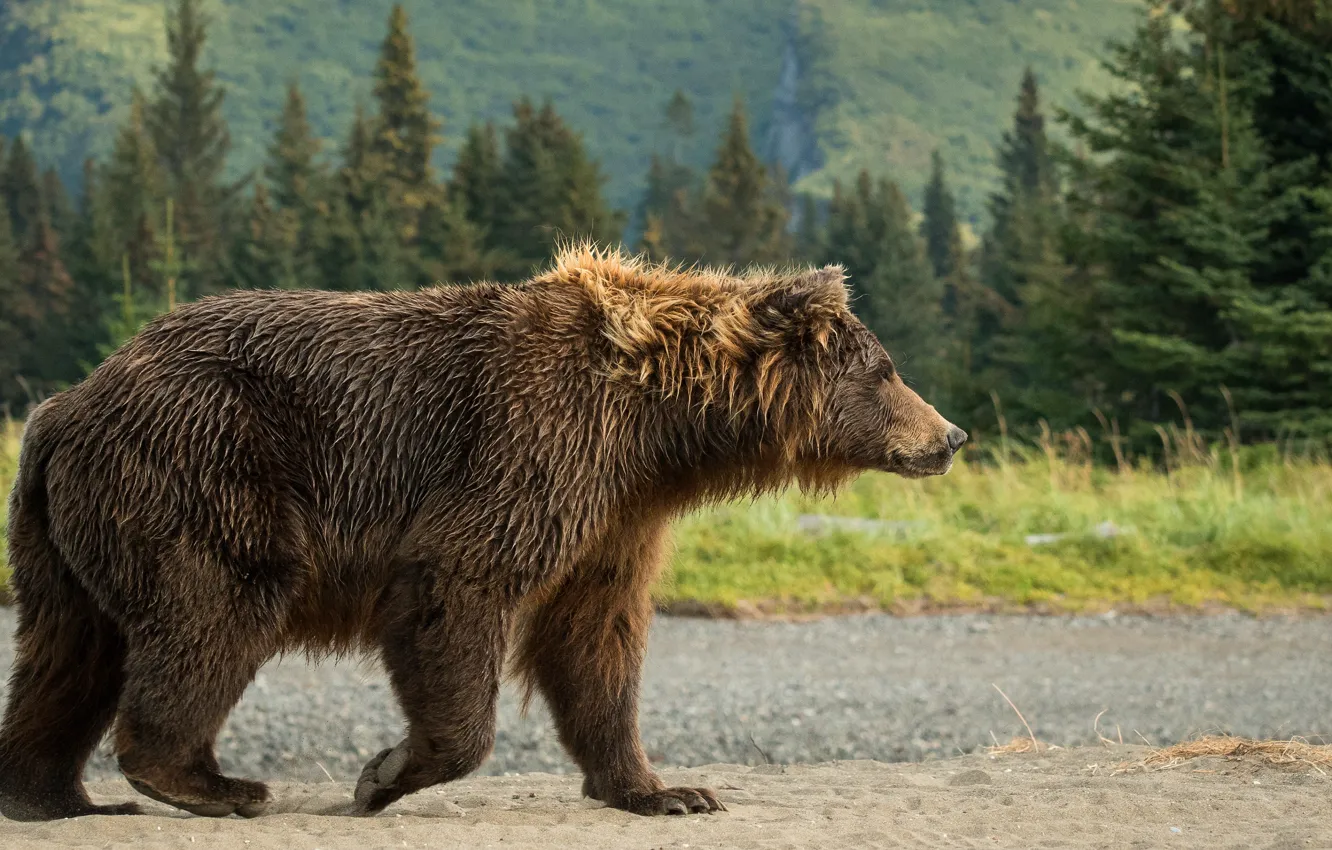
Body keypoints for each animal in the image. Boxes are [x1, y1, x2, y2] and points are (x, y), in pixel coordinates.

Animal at [0, 245, 965, 821]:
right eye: (887, 370)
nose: (950, 436)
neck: (655, 428)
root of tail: (70, 400)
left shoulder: (617, 513)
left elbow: (596, 638)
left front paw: (664, 788)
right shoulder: (529, 441)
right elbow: (460, 581)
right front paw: (384, 774)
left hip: (68, 525)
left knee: (69, 649)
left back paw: (55, 793)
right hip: (207, 468)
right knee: (215, 609)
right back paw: (210, 782)